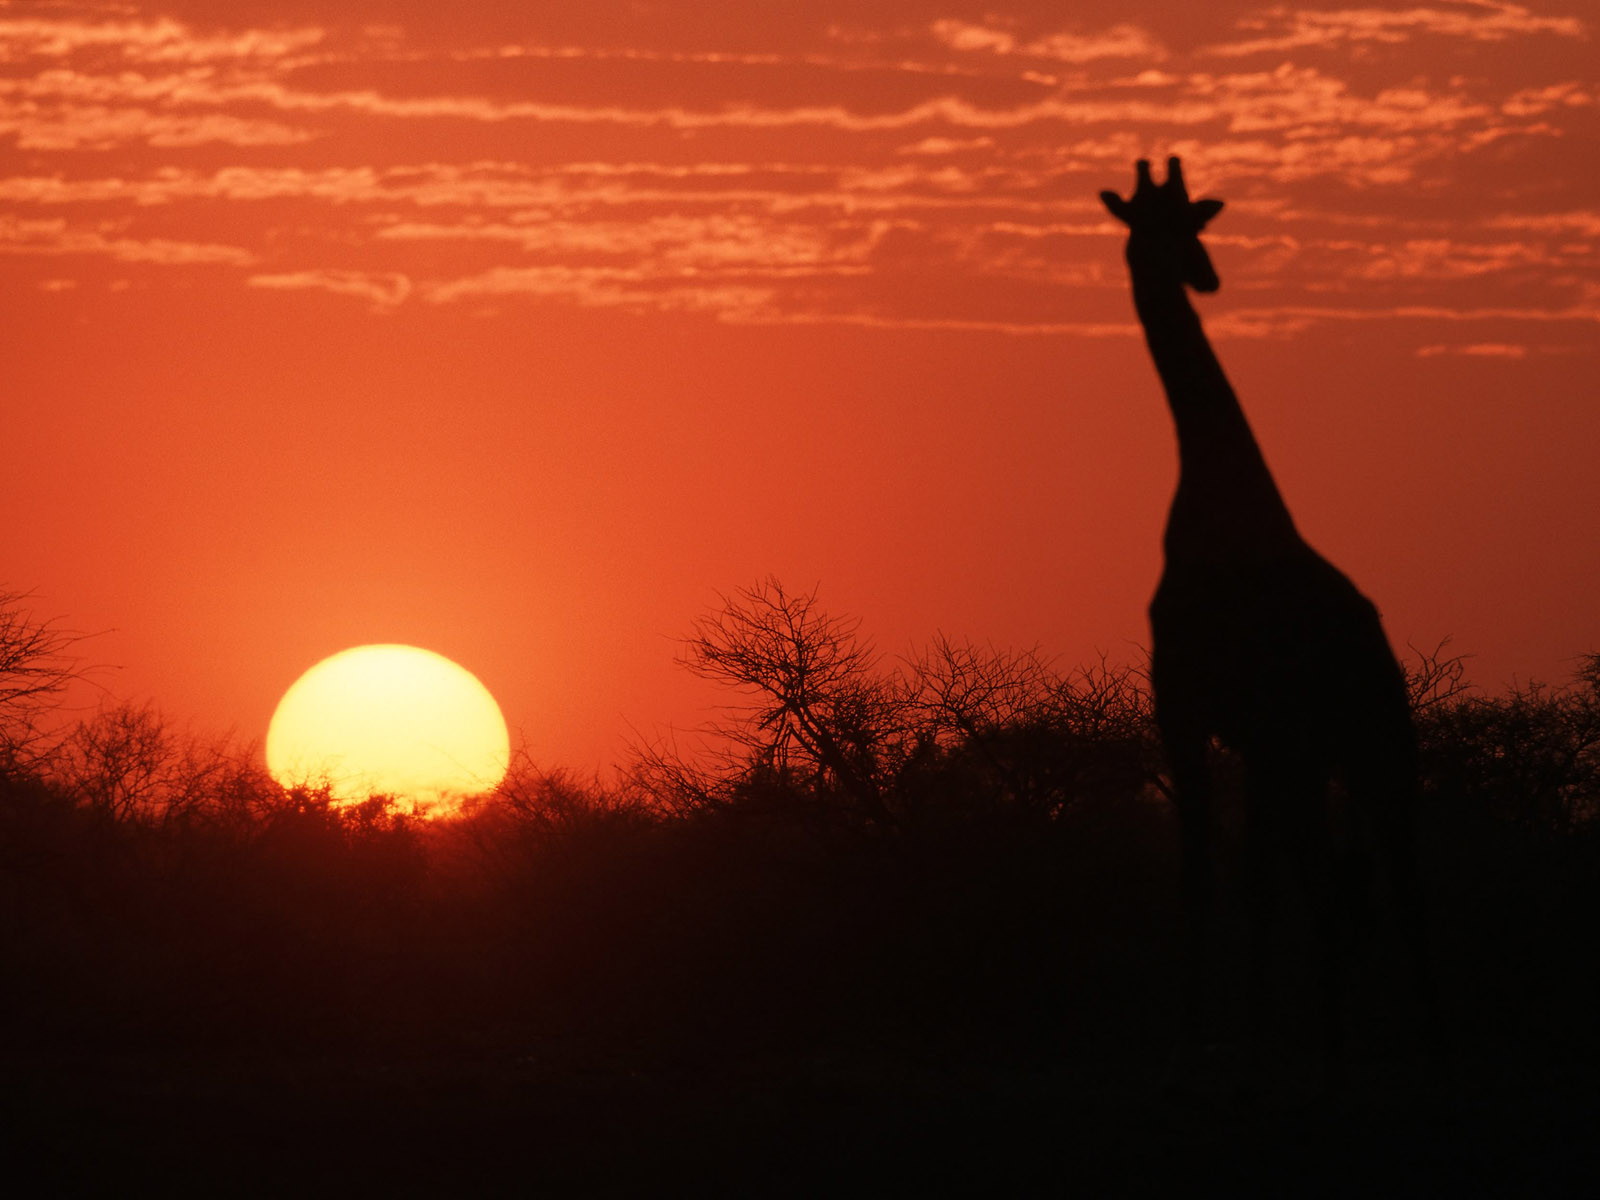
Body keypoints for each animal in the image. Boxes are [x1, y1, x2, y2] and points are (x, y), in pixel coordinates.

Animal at [1100, 155, 1440, 1088]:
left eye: (1197, 225)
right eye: (1152, 226)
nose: (1205, 276)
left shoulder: (1223, 714)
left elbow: (1238, 881)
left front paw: (1231, 1033)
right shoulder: (1216, 722)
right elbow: (1211, 877)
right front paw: (1216, 1031)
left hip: (1371, 740)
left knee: (1394, 873)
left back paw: (1412, 1038)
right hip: (1323, 752)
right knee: (1334, 878)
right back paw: (1337, 1036)